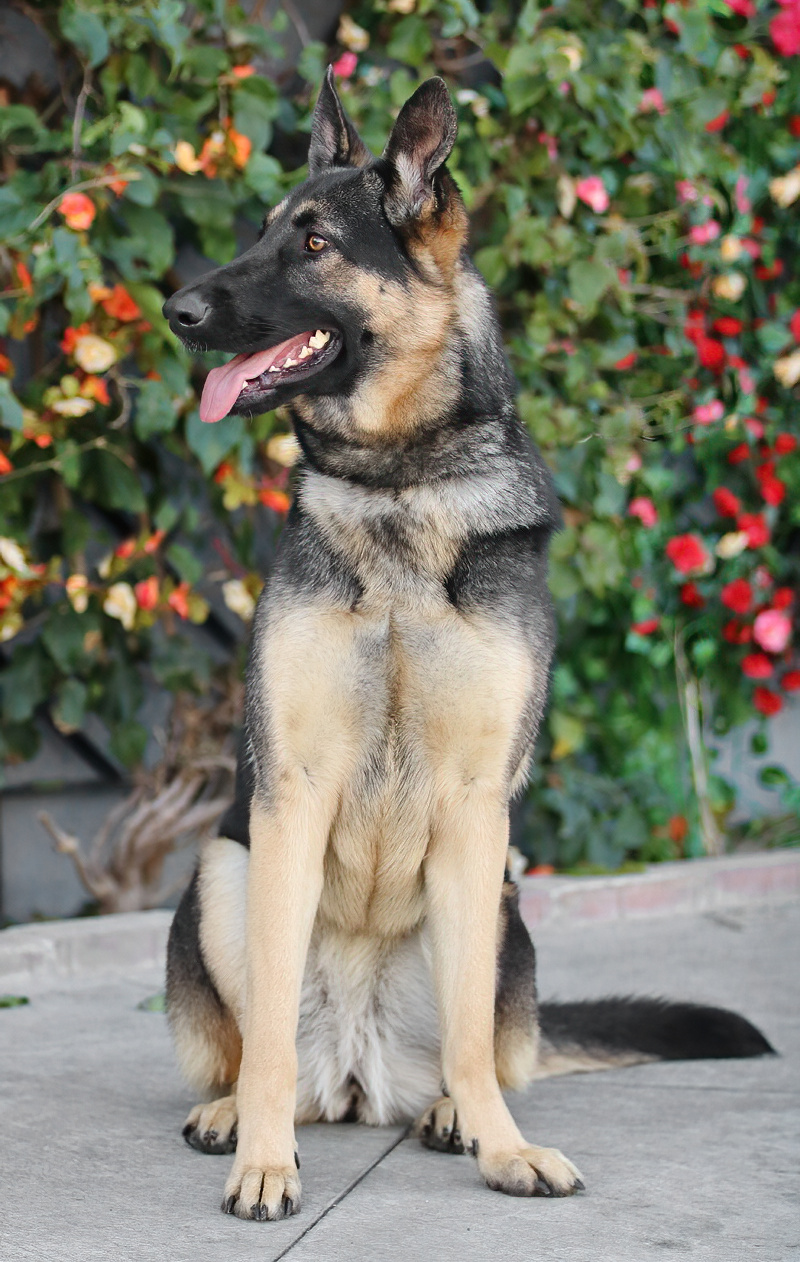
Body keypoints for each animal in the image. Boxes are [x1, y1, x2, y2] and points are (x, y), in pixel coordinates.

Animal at [162, 71, 774, 1222]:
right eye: (261, 232)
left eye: (313, 243)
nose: (179, 310)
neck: (400, 486)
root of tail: (358, 1075)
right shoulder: (288, 799)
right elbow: (265, 1031)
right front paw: (262, 1157)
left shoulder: (474, 804)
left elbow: (471, 1039)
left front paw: (502, 1146)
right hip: (224, 868)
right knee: (265, 1046)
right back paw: (240, 1114)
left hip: (499, 898)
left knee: (468, 1042)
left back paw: (453, 1115)